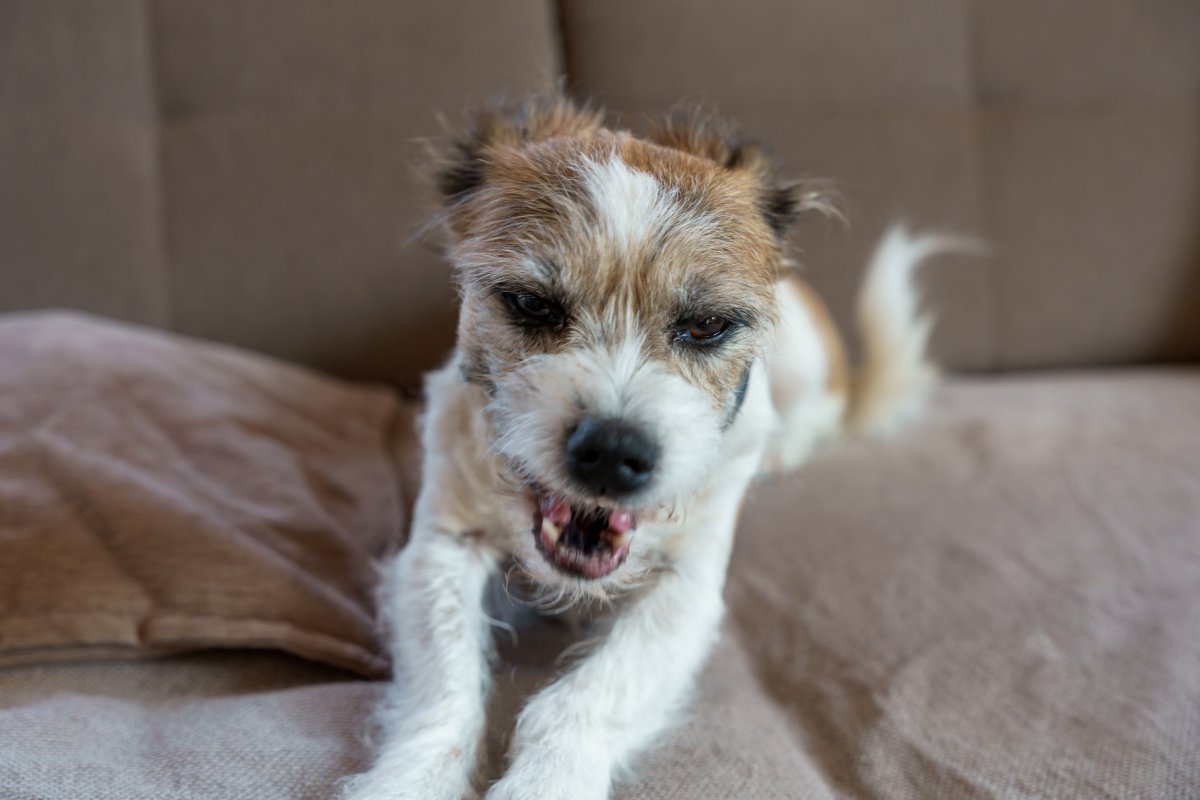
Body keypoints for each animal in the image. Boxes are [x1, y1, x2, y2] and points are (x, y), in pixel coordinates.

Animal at [340, 94, 955, 800]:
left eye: (707, 325)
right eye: (530, 303)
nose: (612, 452)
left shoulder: (688, 590)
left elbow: (580, 702)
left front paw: (547, 782)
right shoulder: (439, 547)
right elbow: (444, 694)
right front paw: (406, 779)